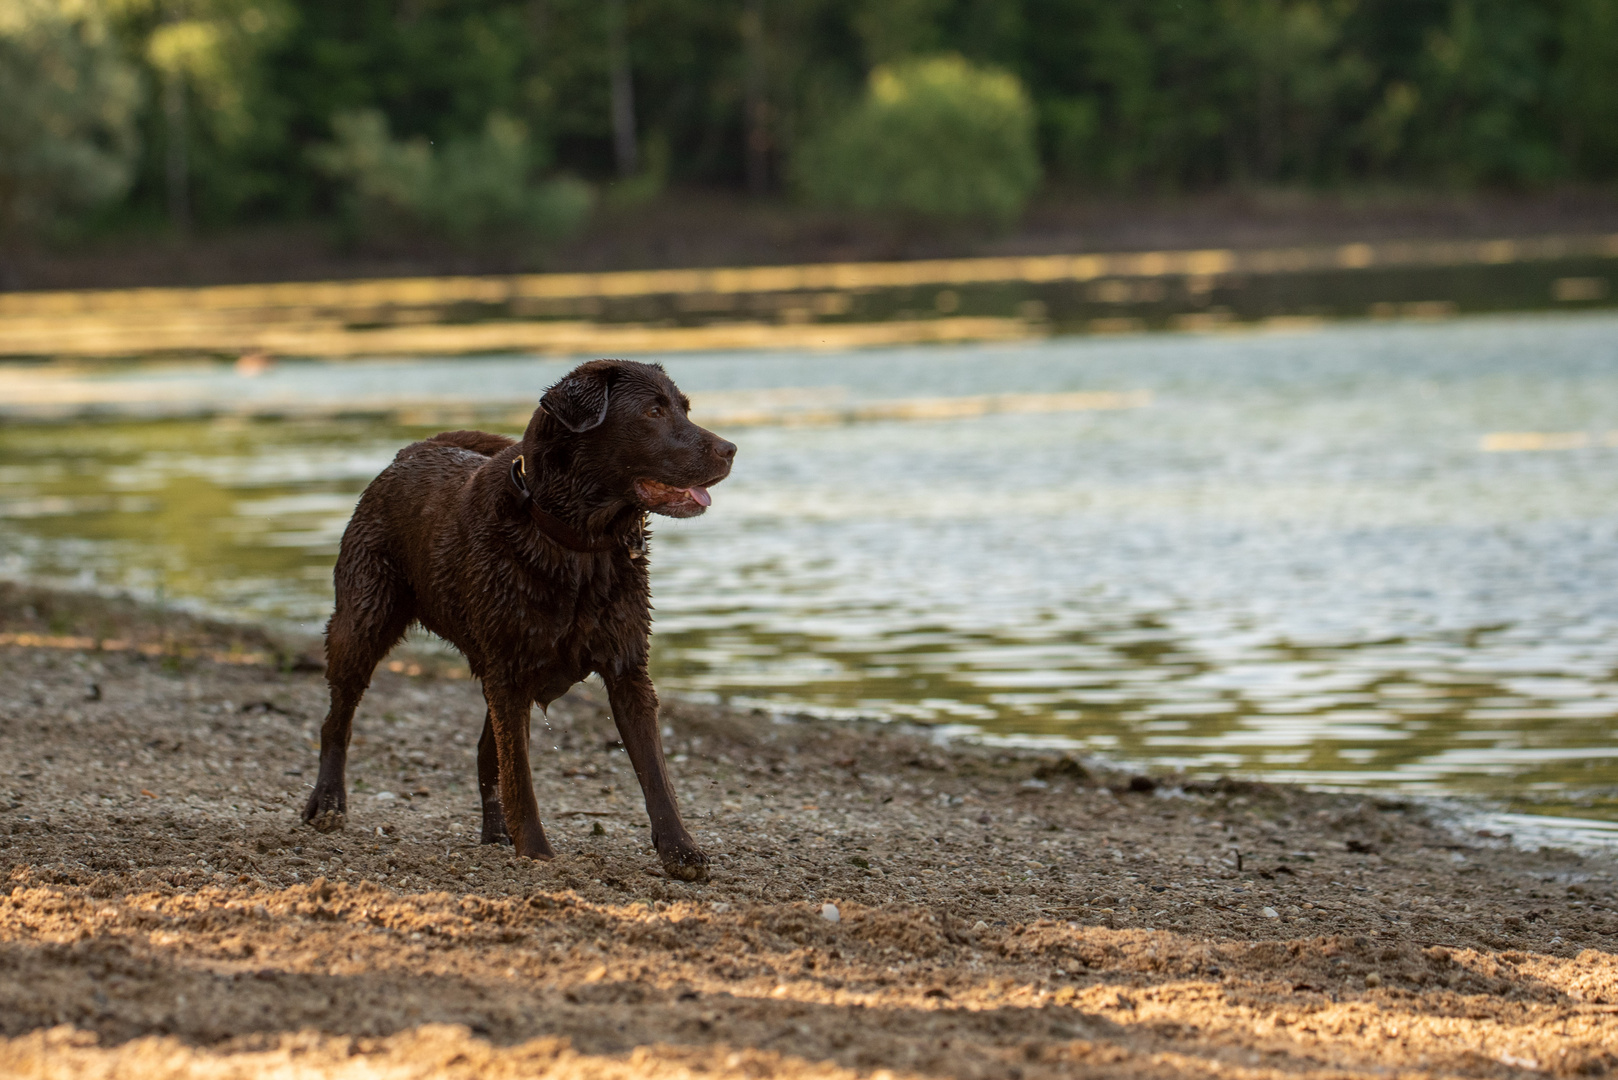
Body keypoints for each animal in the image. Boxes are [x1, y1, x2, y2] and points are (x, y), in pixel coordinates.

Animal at [300, 359, 737, 880]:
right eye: (653, 412)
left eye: (684, 409)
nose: (731, 450)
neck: (576, 546)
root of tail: (411, 451)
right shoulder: (509, 673)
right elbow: (521, 776)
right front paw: (537, 850)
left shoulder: (627, 670)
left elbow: (655, 774)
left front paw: (680, 850)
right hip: (364, 621)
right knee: (338, 719)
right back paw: (327, 803)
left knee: (486, 755)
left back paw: (496, 832)